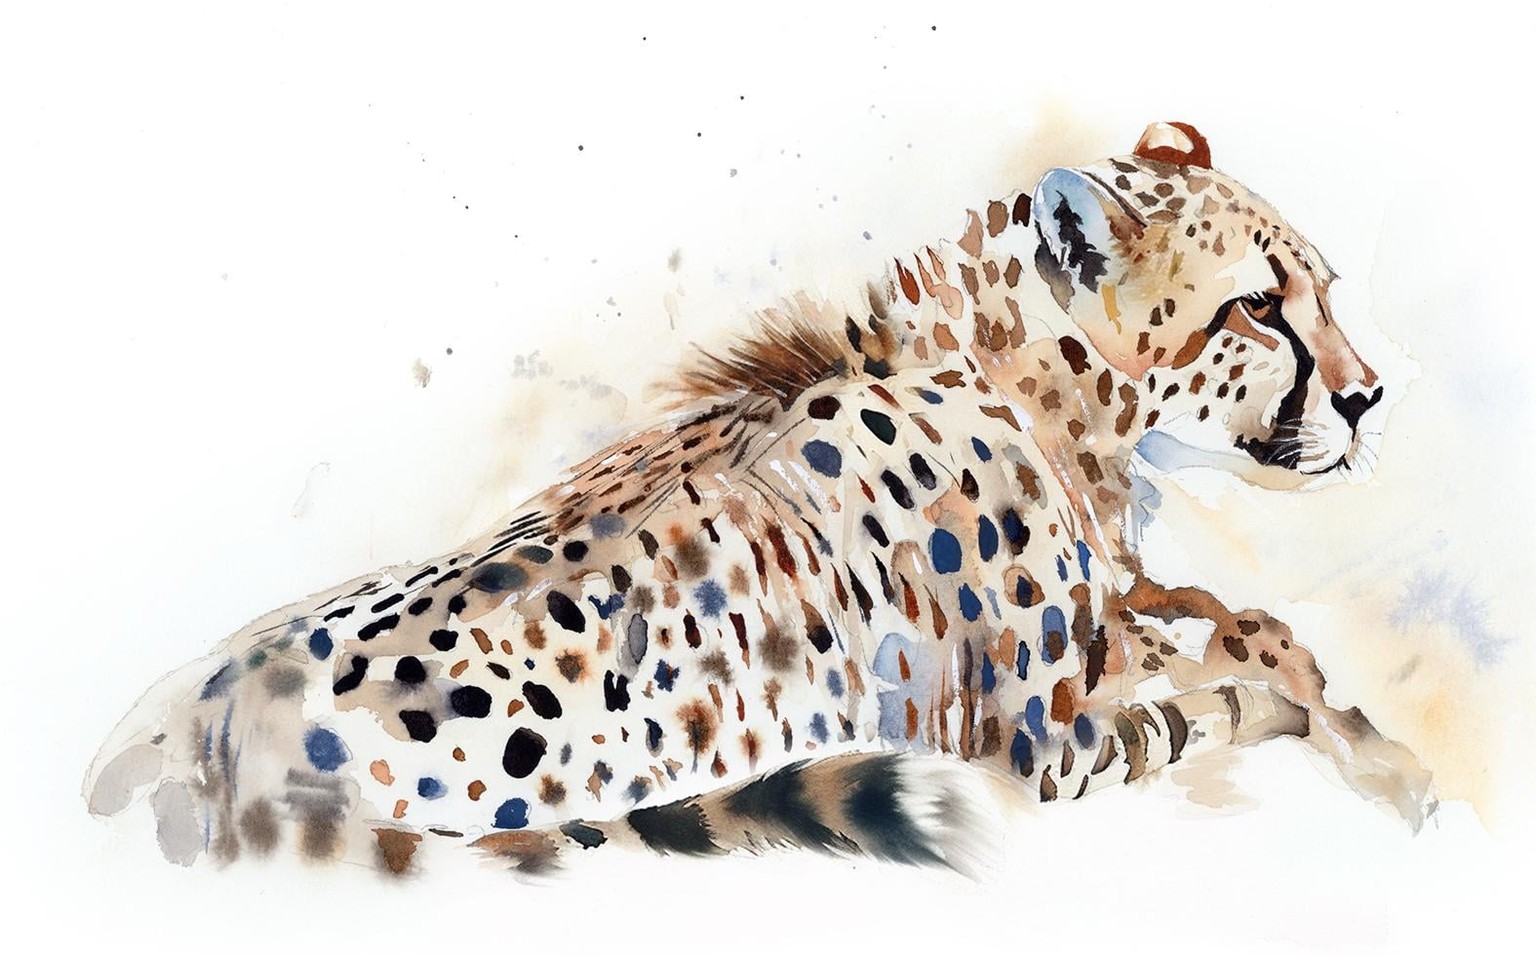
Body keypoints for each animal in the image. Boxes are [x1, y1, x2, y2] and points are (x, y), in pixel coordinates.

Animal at [85, 121, 1432, 876]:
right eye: (1257, 306)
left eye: (1322, 288)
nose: (1370, 397)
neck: (1032, 384)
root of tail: (174, 741)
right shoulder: (1037, 746)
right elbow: (1222, 696)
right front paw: (1348, 739)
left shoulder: (1120, 621)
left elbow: (1227, 625)